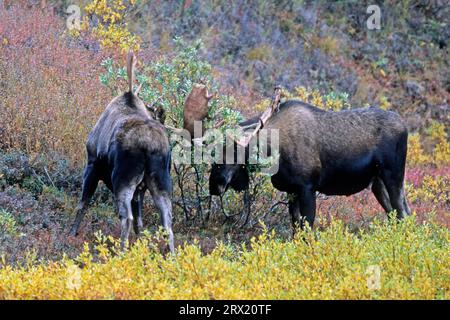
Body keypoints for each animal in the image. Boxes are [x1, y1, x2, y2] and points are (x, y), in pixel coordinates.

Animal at [69, 50, 173, 250]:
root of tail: (149, 146)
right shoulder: (141, 190)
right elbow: (140, 224)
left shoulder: (92, 164)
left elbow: (82, 203)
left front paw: (71, 233)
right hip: (160, 180)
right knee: (167, 223)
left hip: (122, 177)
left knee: (126, 217)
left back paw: (122, 251)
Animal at [209, 96, 410, 229]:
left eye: (234, 151)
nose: (214, 185)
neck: (275, 152)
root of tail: (405, 127)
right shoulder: (291, 190)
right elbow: (296, 228)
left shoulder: (307, 187)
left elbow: (307, 228)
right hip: (377, 182)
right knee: (397, 213)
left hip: (393, 175)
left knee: (403, 213)